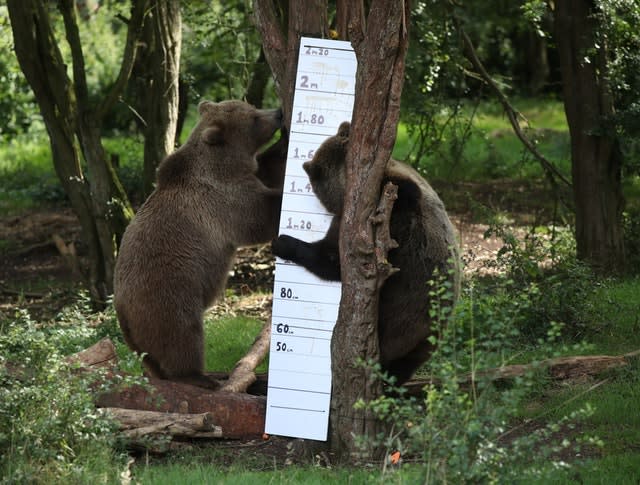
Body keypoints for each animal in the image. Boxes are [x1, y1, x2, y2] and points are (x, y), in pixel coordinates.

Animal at [114, 99, 286, 390]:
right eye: (253, 118)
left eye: (251, 106)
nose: (278, 113)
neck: (221, 162)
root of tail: (121, 311)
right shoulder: (223, 200)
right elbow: (260, 216)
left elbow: (267, 166)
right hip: (168, 295)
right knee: (183, 336)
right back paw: (200, 377)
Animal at [270, 122, 460, 386]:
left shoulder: (384, 222)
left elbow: (335, 261)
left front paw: (284, 242)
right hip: (419, 341)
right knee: (404, 365)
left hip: (400, 319)